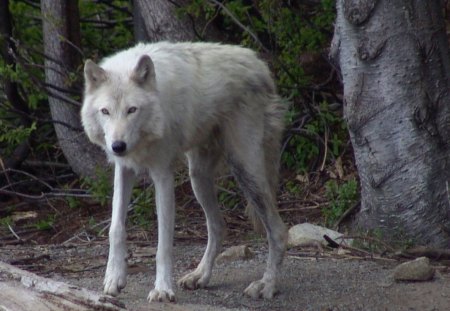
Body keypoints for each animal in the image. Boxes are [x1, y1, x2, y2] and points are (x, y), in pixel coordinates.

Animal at [81, 41, 288, 302]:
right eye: (105, 111)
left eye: (132, 110)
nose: (118, 146)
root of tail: (259, 64)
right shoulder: (124, 169)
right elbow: (115, 228)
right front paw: (114, 279)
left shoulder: (163, 175)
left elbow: (163, 243)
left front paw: (162, 289)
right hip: (198, 178)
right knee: (218, 226)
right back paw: (200, 276)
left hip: (246, 170)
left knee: (278, 231)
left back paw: (267, 285)